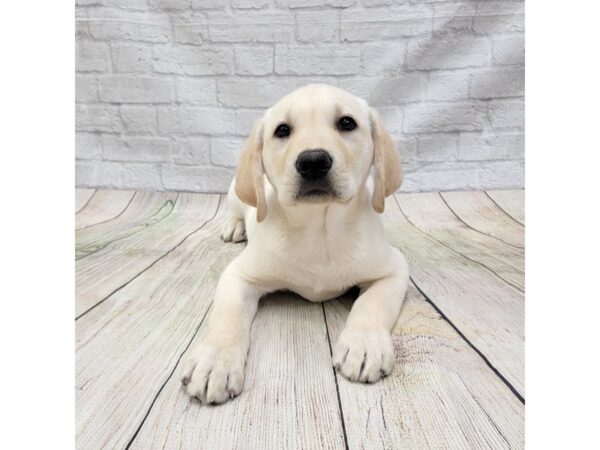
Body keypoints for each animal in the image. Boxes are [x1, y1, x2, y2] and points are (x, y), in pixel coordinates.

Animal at [180, 83, 410, 404]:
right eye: (282, 130)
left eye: (347, 123)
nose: (313, 161)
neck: (319, 230)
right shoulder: (238, 276)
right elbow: (227, 316)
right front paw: (215, 360)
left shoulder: (394, 269)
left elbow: (372, 303)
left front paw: (365, 344)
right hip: (236, 194)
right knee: (236, 210)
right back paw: (234, 226)